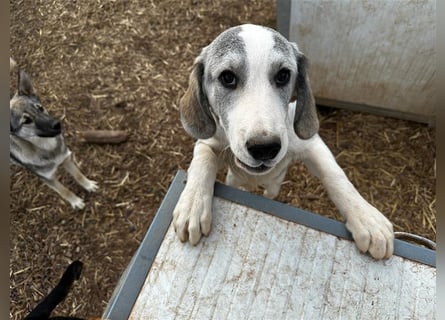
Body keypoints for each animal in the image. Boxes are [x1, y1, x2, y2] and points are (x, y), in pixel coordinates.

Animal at [173, 24, 392, 260]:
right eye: (227, 77)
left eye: (283, 75)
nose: (264, 148)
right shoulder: (209, 142)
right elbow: (202, 162)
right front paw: (192, 204)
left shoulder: (311, 144)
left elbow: (336, 176)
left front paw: (367, 218)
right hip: (235, 180)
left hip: (274, 185)